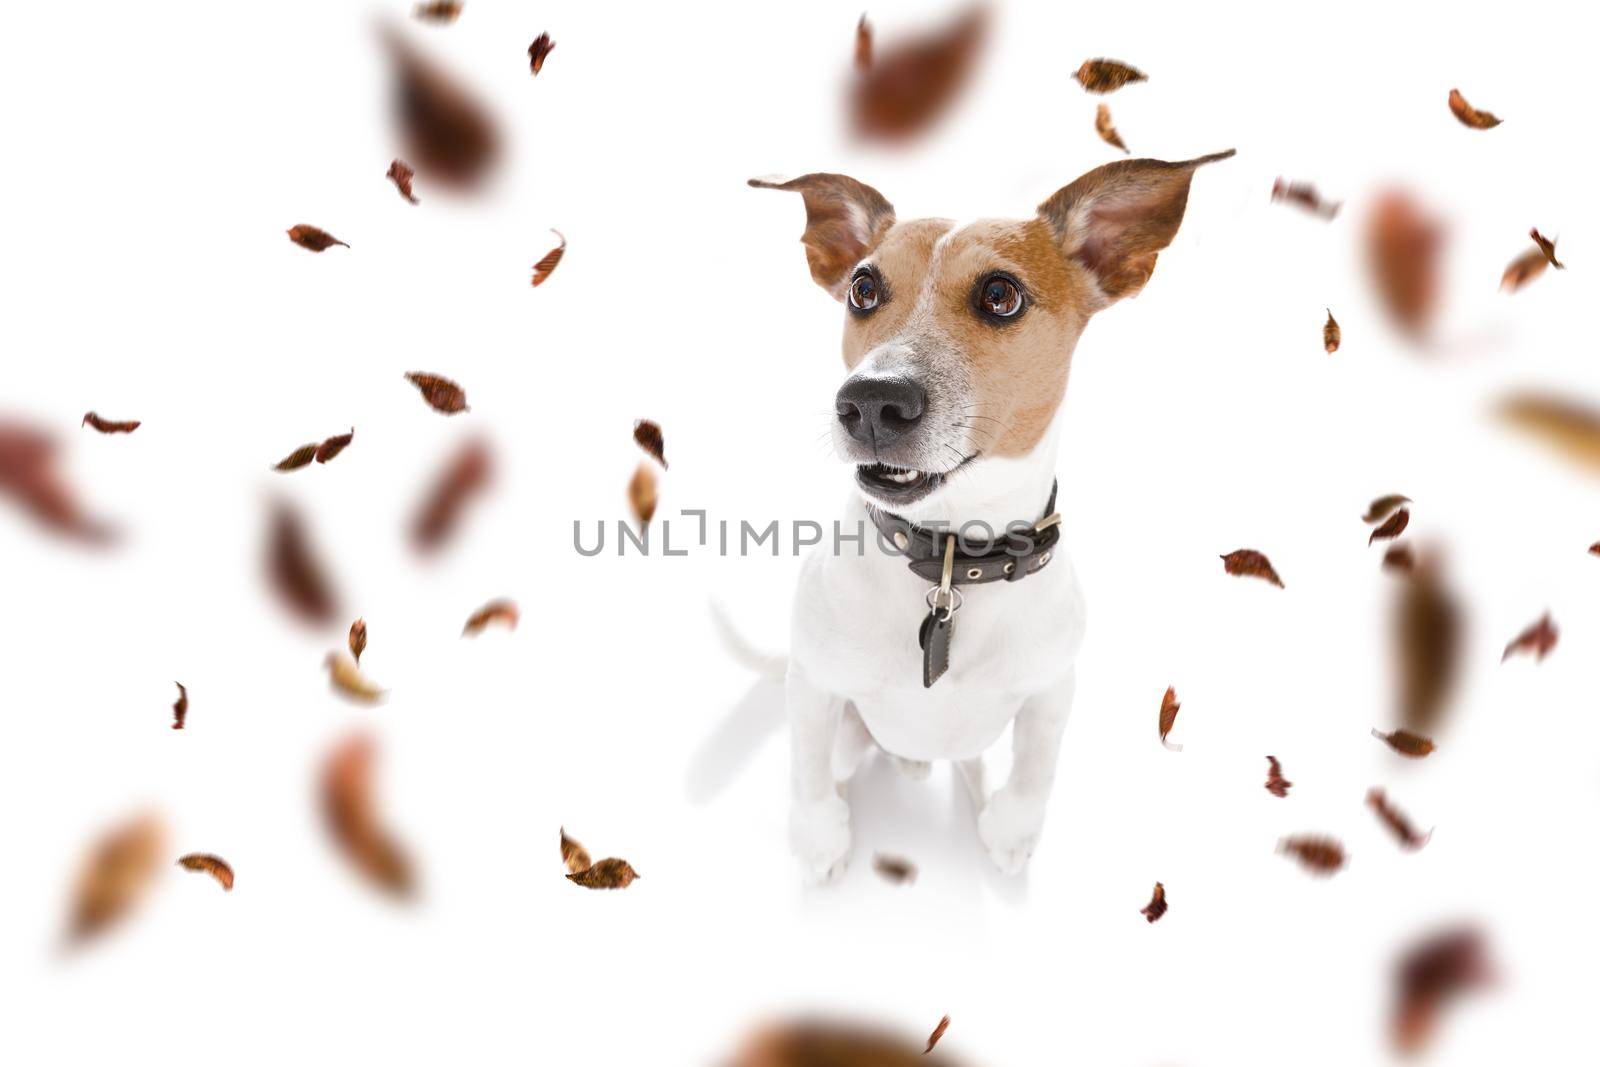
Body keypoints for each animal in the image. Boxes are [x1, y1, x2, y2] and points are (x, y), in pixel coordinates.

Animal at [742, 150, 1228, 883]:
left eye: (1001, 295)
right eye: (863, 289)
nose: (870, 401)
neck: (948, 559)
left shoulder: (1053, 691)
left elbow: (1034, 771)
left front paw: (1011, 833)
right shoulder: (816, 686)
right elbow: (808, 771)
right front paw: (819, 837)